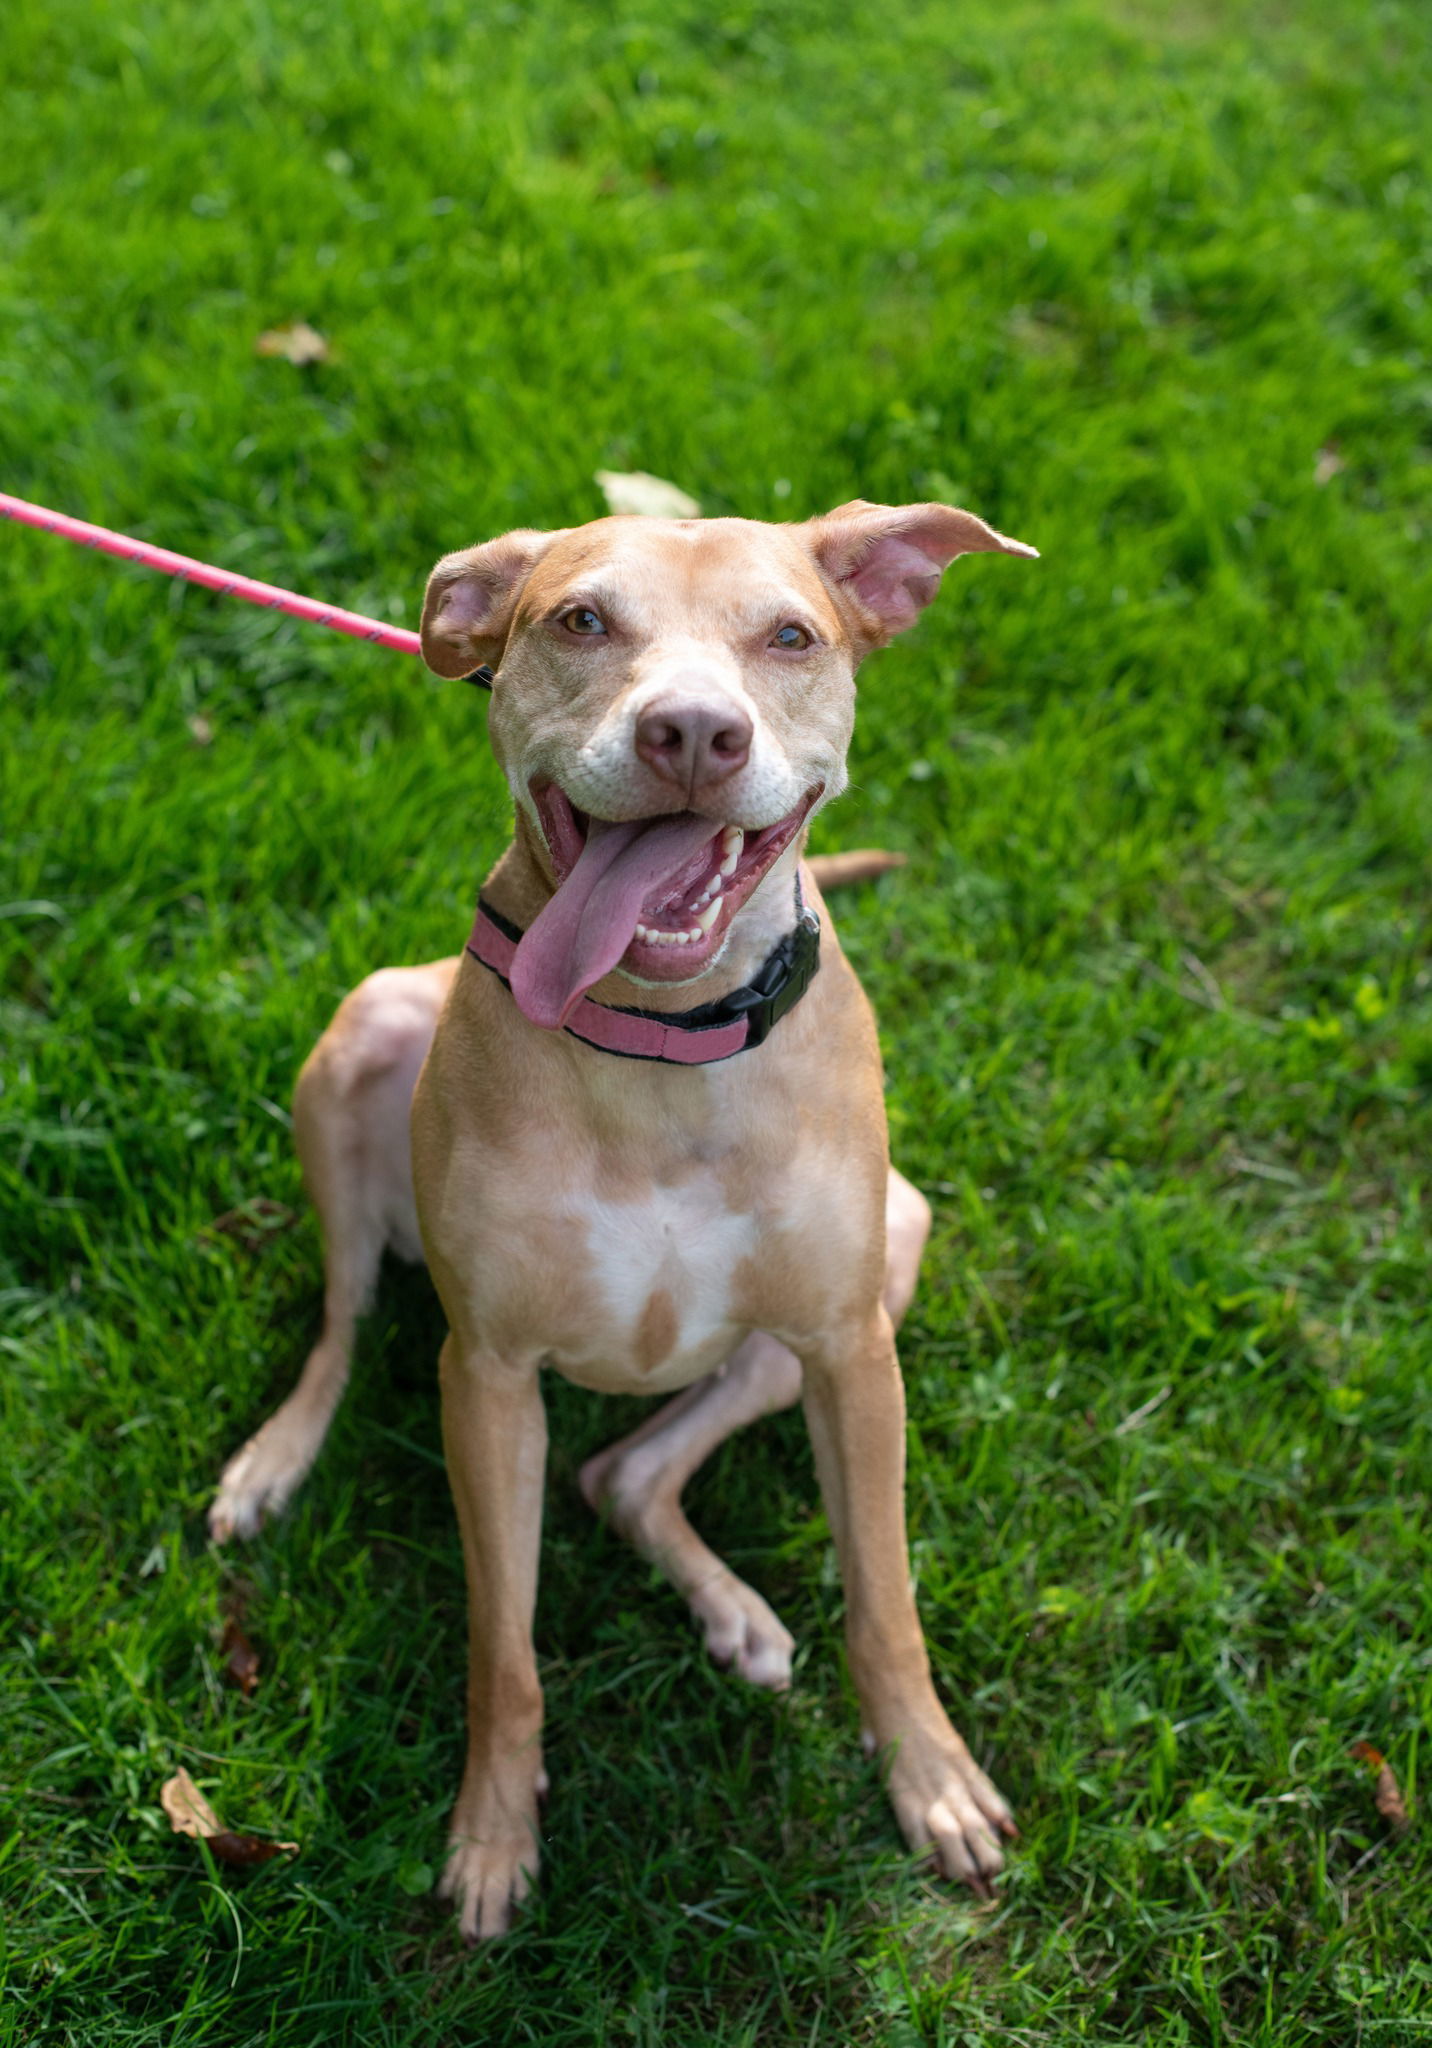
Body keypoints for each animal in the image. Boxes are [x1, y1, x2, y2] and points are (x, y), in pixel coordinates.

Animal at [206, 495, 1036, 1933]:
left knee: (626, 1472)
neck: (663, 1048)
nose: (693, 733)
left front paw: (929, 1777)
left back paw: (737, 1614)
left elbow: (885, 1597)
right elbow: (505, 1645)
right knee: (344, 1322)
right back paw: (273, 1462)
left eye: (790, 636)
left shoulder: (850, 1349)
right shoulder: (486, 1377)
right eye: (581, 619)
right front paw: (492, 1837)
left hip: (898, 1241)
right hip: (363, 1032)